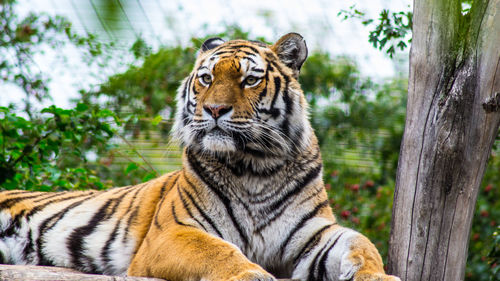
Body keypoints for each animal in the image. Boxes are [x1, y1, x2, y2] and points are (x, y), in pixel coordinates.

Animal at [0, 33, 400, 280]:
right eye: (206, 78)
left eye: (250, 80)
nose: (215, 109)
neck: (256, 166)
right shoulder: (173, 232)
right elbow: (217, 251)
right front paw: (252, 273)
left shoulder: (314, 233)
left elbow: (361, 244)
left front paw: (378, 276)